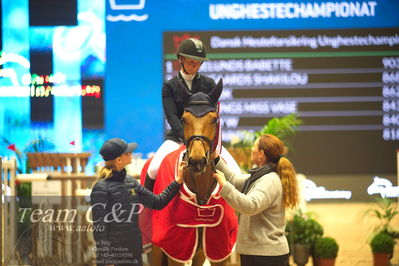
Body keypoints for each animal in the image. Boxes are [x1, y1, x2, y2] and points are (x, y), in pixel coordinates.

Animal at [141, 79, 238, 266]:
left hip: (199, 252)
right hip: (155, 249)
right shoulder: (176, 250)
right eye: (184, 119)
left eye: (214, 119)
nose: (197, 161)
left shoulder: (219, 249)